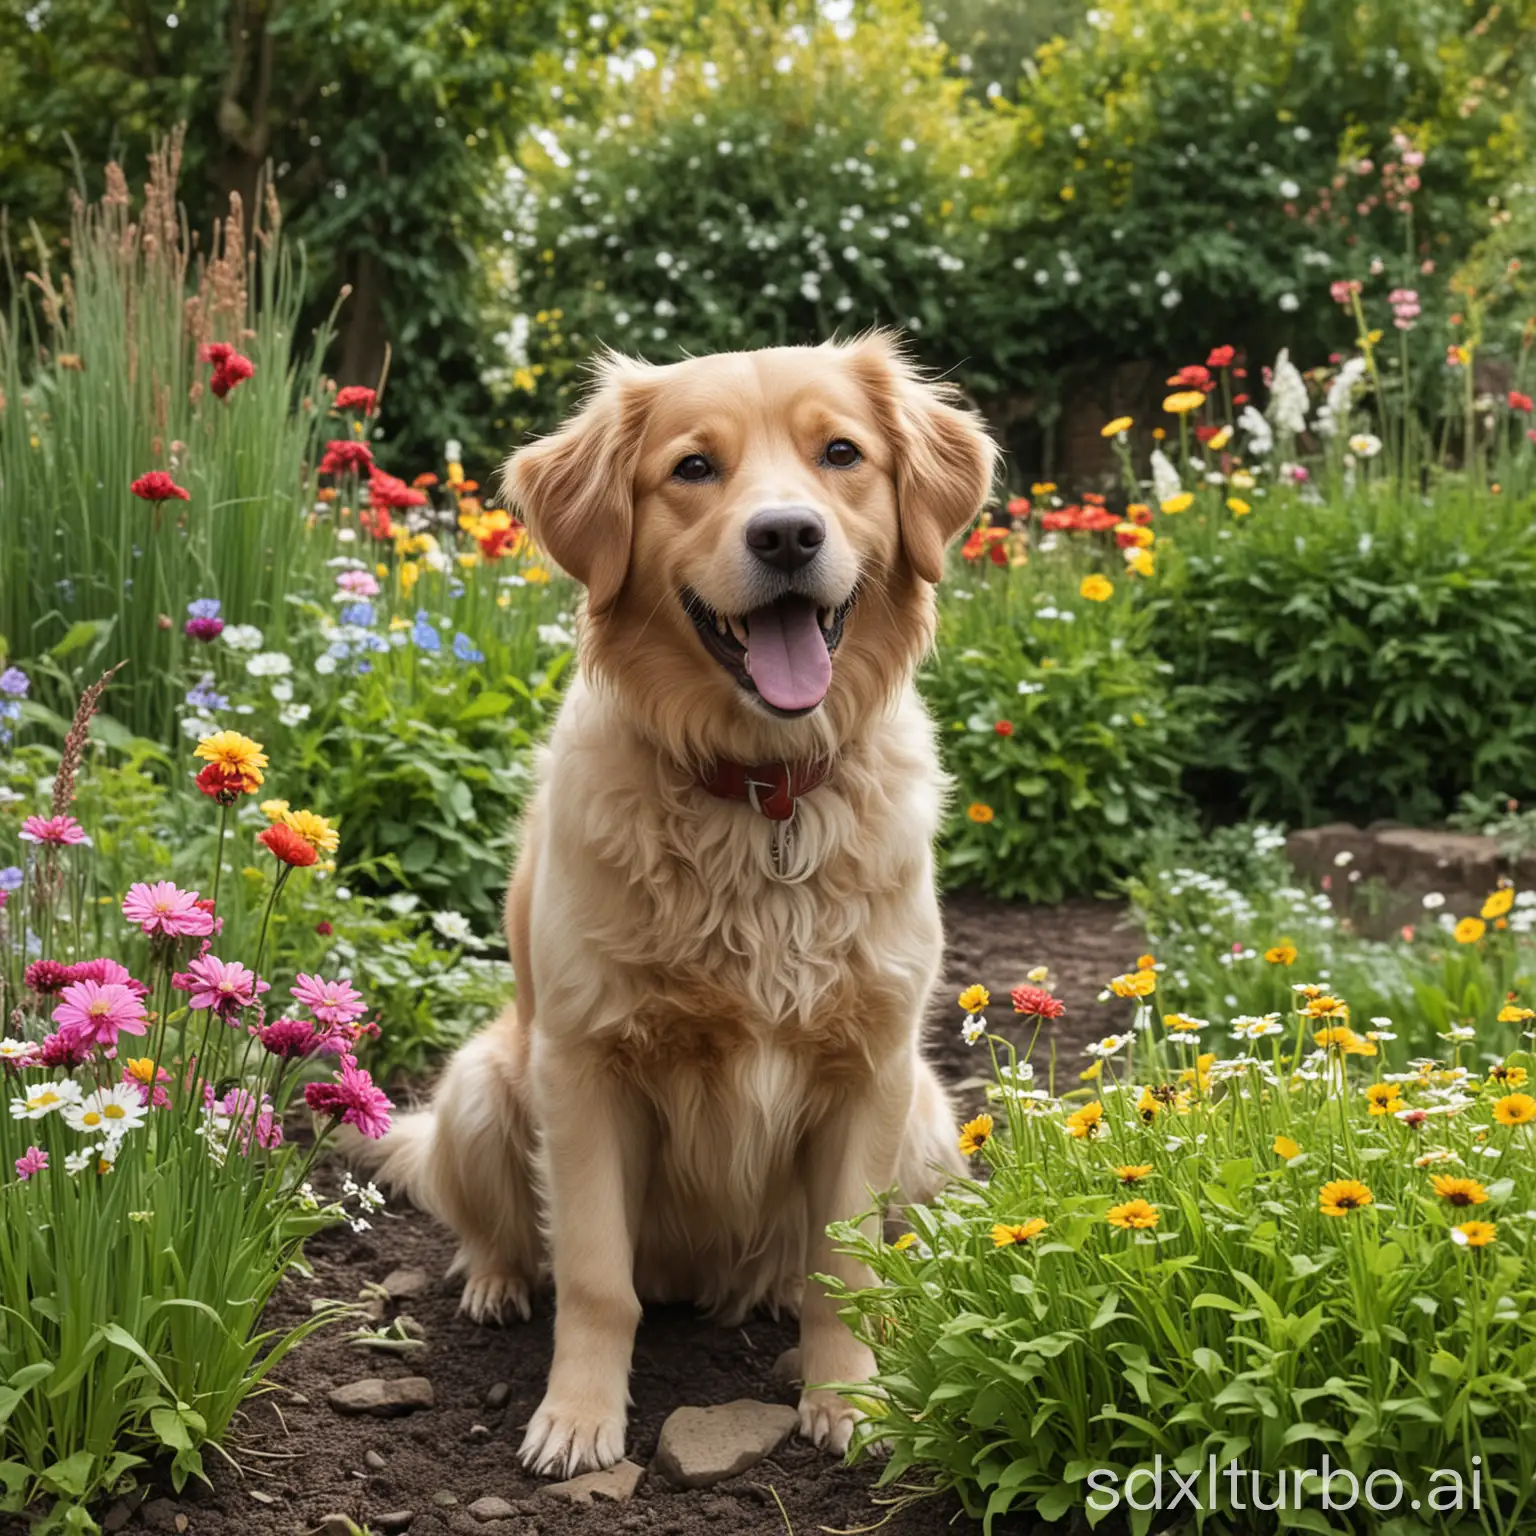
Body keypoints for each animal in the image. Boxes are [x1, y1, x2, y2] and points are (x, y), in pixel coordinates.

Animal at [365, 333, 1001, 1474]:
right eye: (693, 468)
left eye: (841, 453)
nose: (787, 534)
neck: (761, 794)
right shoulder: (583, 1066)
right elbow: (594, 1277)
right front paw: (577, 1419)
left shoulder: (872, 1065)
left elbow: (848, 1270)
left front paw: (850, 1401)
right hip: (484, 1084)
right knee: (497, 1231)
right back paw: (494, 1283)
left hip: (928, 1116)